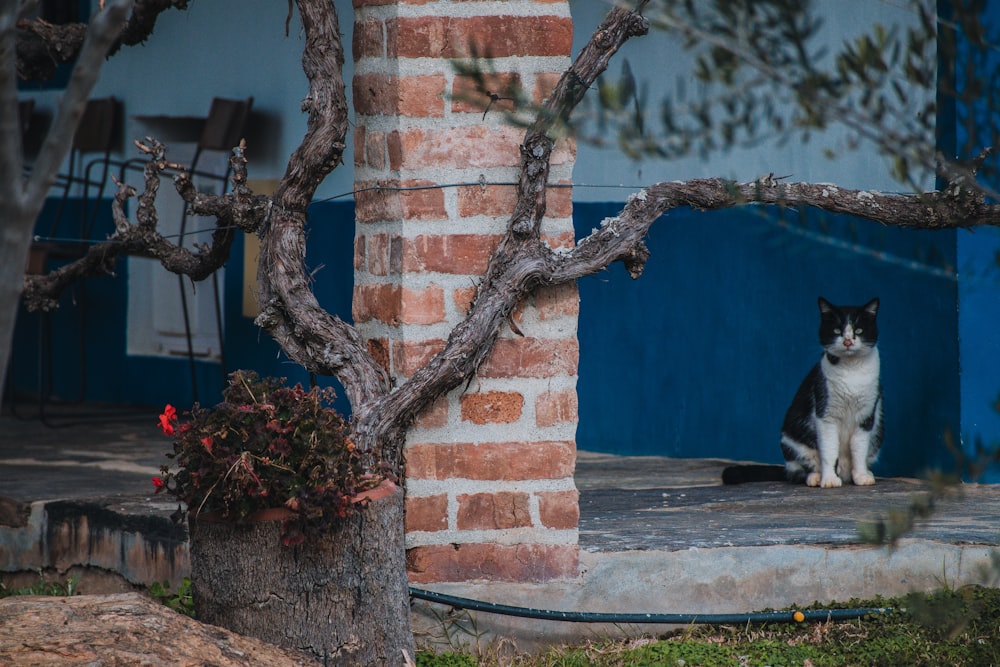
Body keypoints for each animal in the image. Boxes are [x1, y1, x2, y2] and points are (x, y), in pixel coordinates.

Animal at [728, 300, 884, 488]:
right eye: (836, 330)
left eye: (859, 330)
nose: (847, 341)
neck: (851, 369)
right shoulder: (825, 414)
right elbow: (829, 450)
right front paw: (829, 480)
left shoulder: (866, 416)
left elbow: (859, 449)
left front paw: (861, 476)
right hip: (792, 441)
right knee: (798, 470)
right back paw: (815, 477)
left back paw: (863, 473)